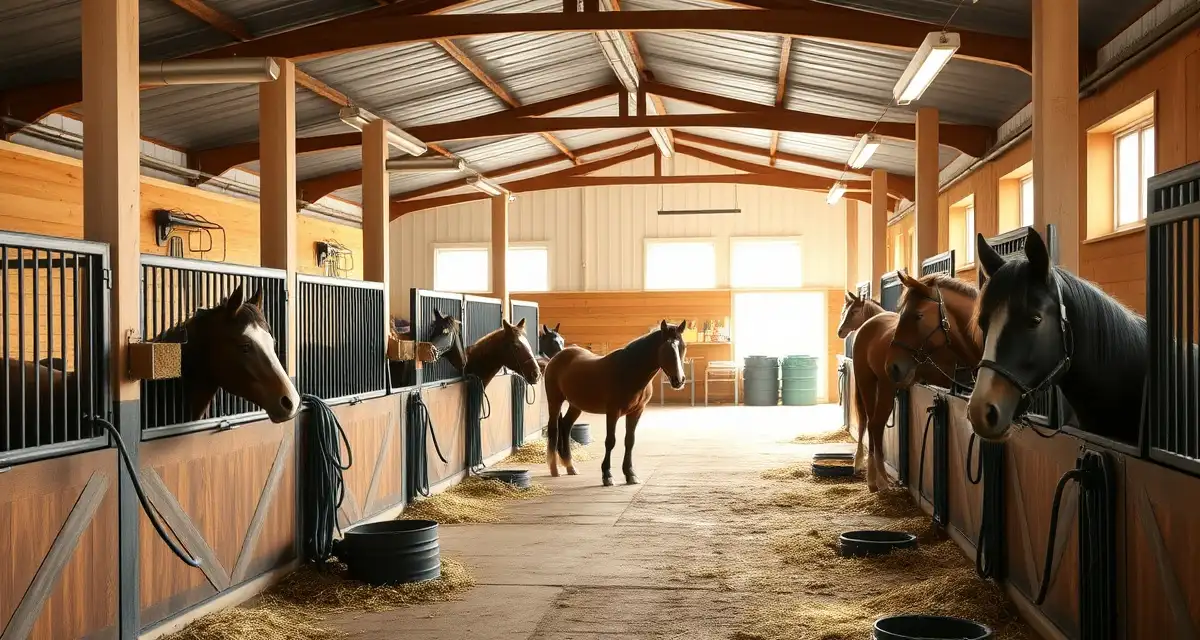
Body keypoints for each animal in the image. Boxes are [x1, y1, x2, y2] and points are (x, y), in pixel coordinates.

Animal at [543, 320, 688, 486]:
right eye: (666, 348)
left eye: (683, 347)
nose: (679, 380)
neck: (629, 370)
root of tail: (557, 357)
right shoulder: (613, 412)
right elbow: (610, 441)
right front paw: (607, 475)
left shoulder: (636, 412)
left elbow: (629, 441)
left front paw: (630, 474)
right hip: (555, 401)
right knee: (554, 429)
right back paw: (554, 469)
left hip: (575, 405)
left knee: (566, 427)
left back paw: (570, 466)